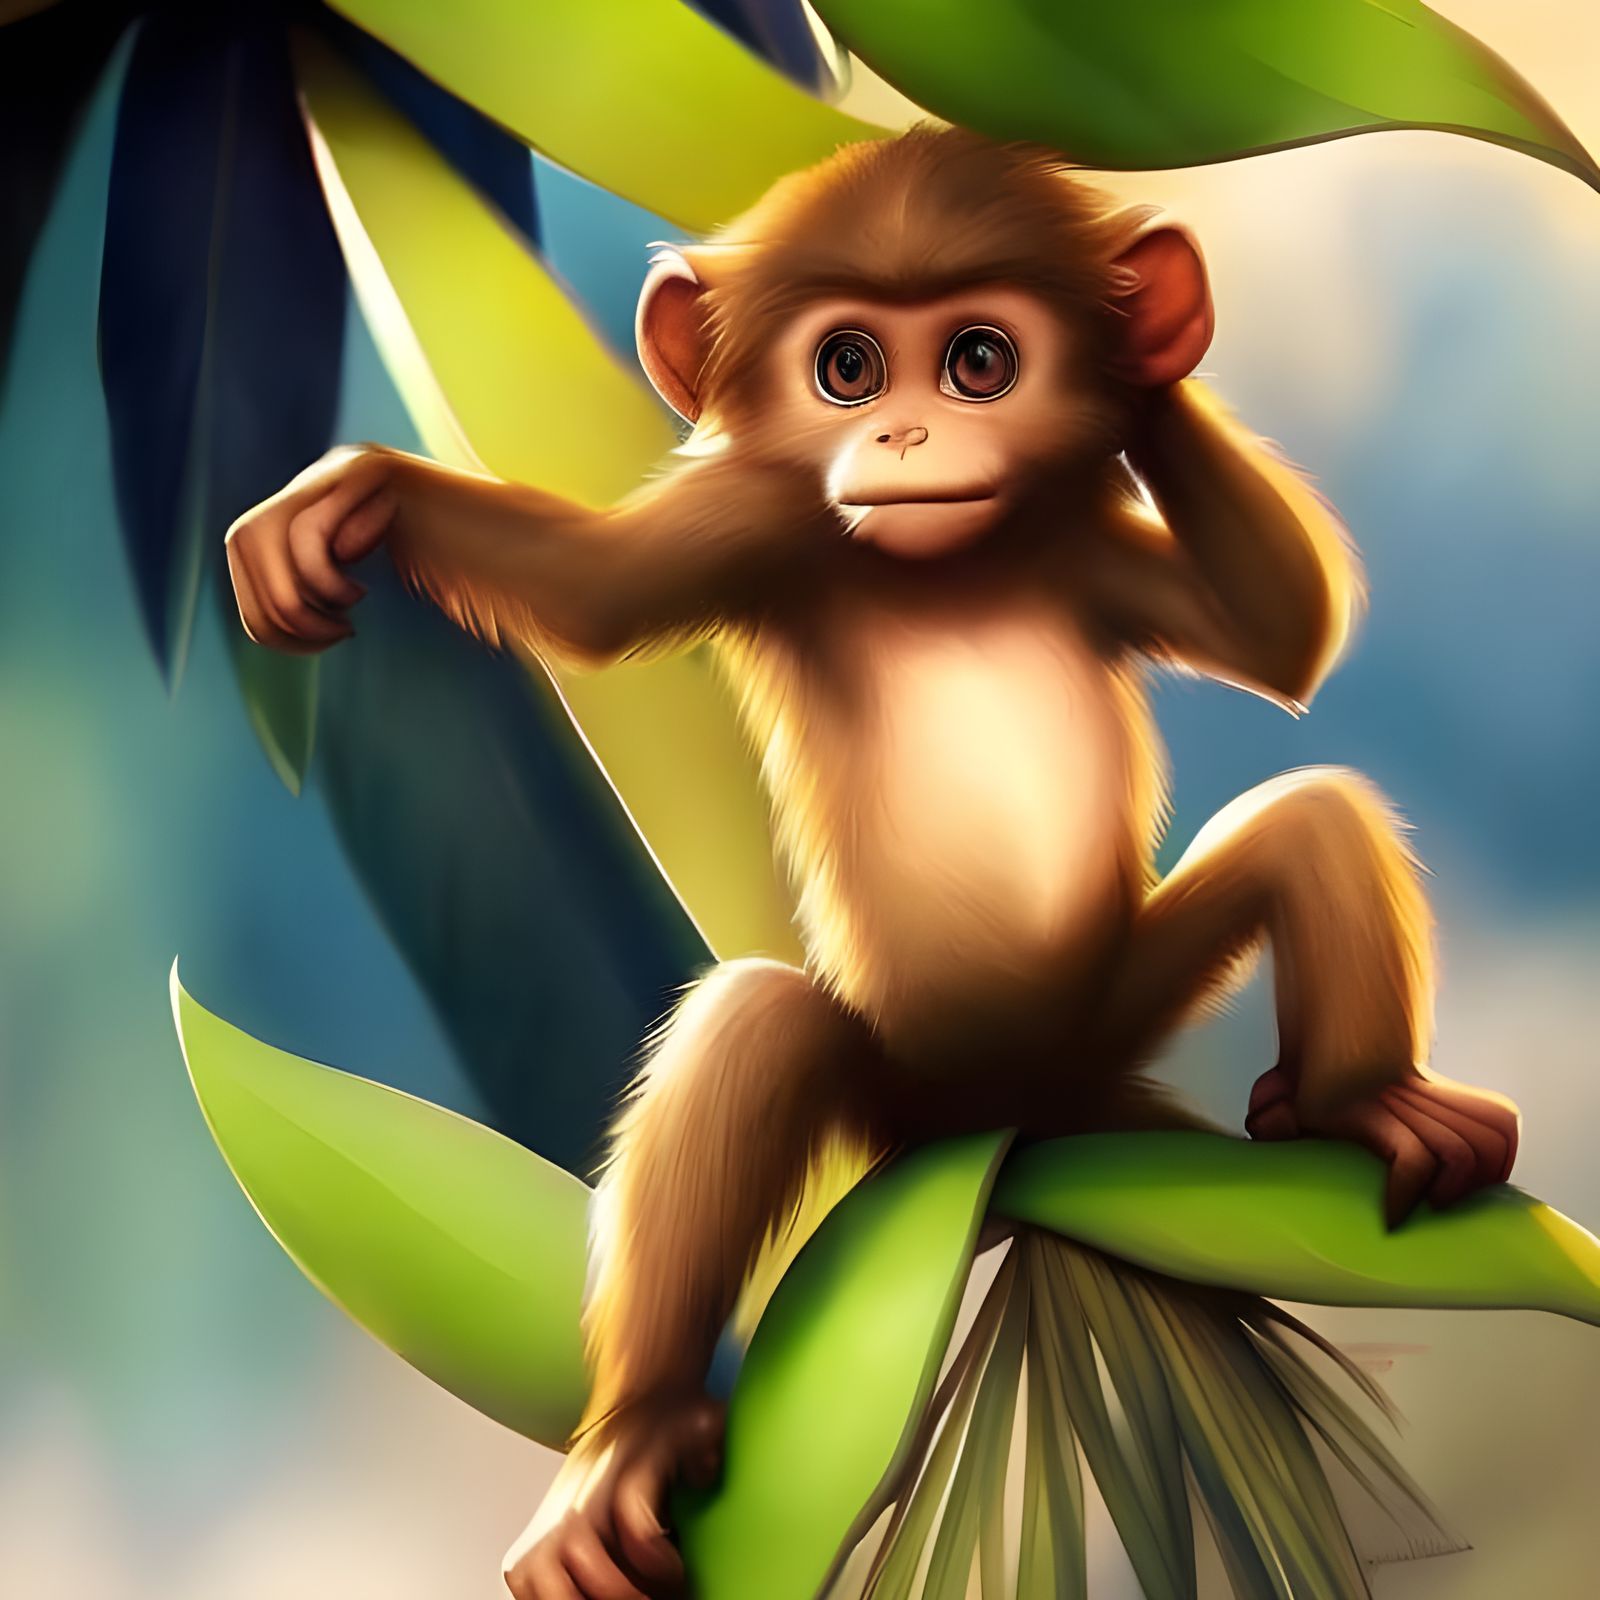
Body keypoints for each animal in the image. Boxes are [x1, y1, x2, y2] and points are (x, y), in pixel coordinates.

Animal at [224, 127, 1521, 1599]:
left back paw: (1360, 1105)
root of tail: (1036, 1115)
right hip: (898, 1091)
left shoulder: (1090, 553)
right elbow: (590, 600)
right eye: (846, 366)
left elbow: (1282, 634)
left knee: (1312, 822)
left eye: (979, 360)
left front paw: (1151, 354)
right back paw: (633, 1434)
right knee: (754, 1029)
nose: (904, 432)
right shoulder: (755, 527)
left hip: (1117, 1006)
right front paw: (355, 499)